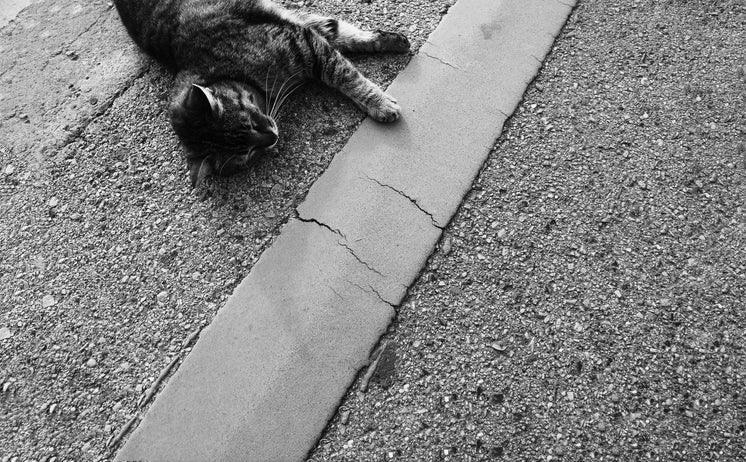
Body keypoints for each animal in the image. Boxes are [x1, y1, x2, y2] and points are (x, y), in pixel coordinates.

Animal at [113, 0, 410, 186]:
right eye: (246, 154)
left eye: (251, 121)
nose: (272, 138)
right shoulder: (299, 33)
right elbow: (334, 32)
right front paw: (384, 40)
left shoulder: (302, 44)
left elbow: (344, 72)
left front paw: (379, 102)